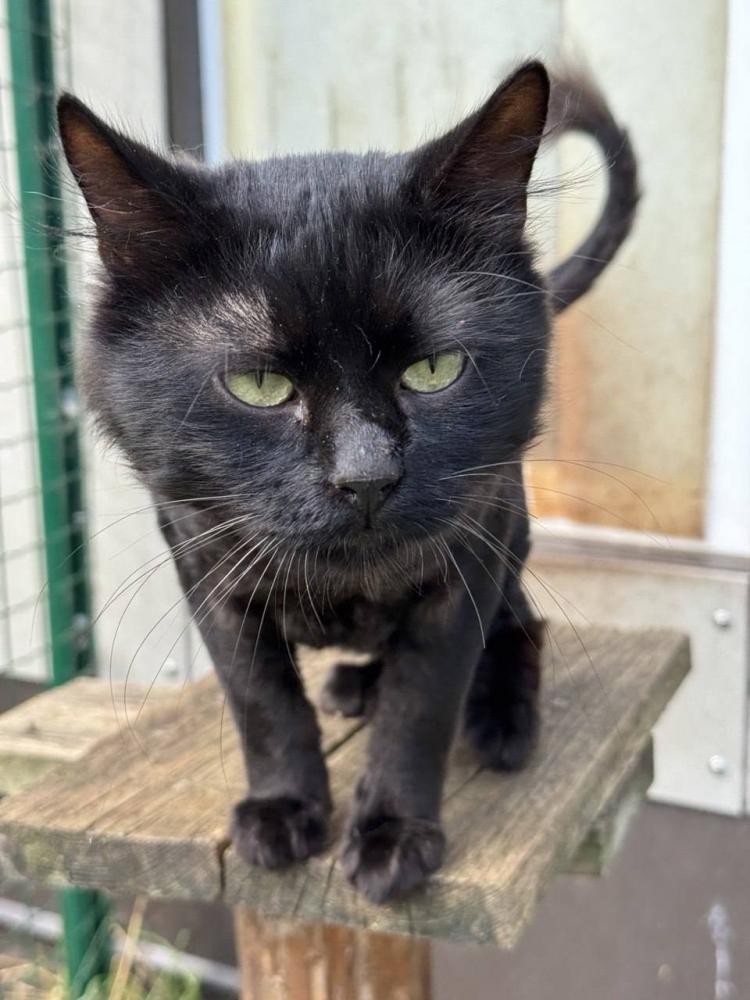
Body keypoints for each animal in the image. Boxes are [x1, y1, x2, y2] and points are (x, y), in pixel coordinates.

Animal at [57, 61, 637, 903]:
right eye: (259, 384)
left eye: (434, 370)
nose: (367, 477)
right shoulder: (204, 567)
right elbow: (262, 701)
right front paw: (283, 808)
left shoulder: (465, 563)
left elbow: (420, 706)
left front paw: (394, 833)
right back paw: (355, 683)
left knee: (523, 625)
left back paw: (500, 720)